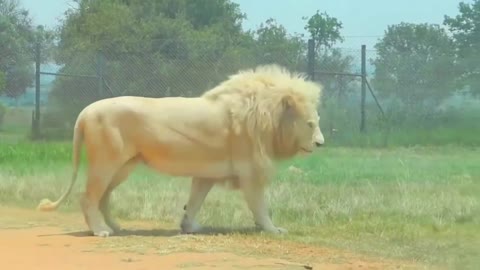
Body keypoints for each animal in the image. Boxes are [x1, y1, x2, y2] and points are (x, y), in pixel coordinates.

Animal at [36, 63, 322, 236]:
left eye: (317, 122)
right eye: (310, 124)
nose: (321, 143)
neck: (268, 118)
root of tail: (85, 111)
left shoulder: (207, 173)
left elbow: (195, 200)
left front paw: (189, 226)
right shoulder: (250, 172)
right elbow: (260, 206)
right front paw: (274, 229)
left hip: (123, 166)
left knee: (103, 197)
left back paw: (117, 226)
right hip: (106, 162)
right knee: (88, 197)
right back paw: (100, 231)